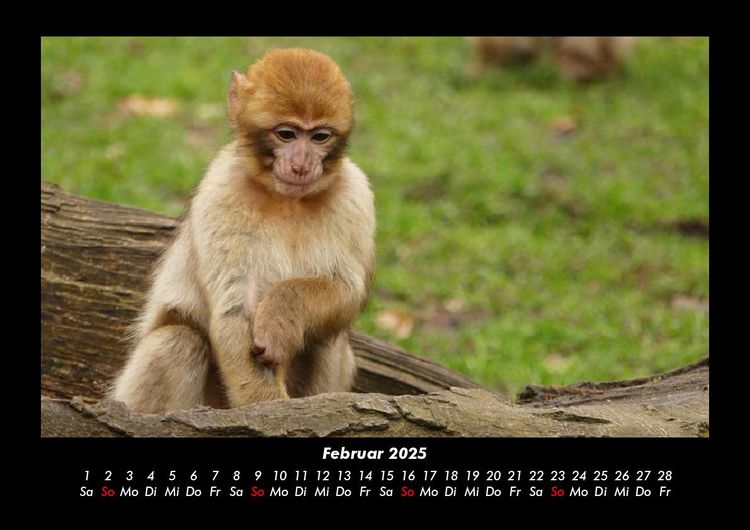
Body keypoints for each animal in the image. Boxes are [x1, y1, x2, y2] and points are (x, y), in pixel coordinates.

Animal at [109, 48, 375, 413]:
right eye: (287, 134)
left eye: (320, 136)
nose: (301, 165)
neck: (287, 201)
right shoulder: (222, 191)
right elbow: (236, 309)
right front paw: (272, 411)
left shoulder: (355, 194)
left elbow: (345, 289)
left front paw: (282, 314)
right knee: (178, 342)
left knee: (328, 340)